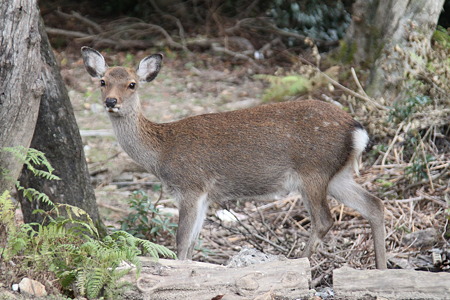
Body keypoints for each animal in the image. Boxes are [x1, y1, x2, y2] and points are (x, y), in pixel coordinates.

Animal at [80, 47, 386, 270]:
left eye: (132, 84)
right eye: (103, 81)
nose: (111, 101)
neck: (162, 152)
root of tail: (356, 130)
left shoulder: (191, 185)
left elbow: (181, 242)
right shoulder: (206, 195)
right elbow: (192, 243)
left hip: (313, 171)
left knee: (324, 220)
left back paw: (299, 261)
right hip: (337, 175)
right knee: (374, 204)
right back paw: (381, 269)